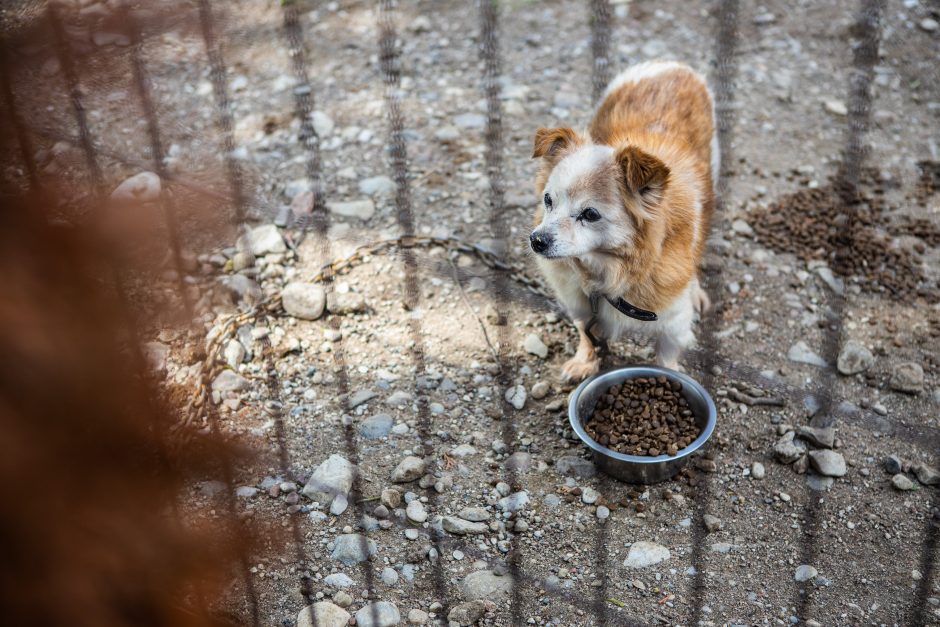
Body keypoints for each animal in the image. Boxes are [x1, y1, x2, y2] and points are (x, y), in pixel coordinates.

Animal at [528, 61, 720, 380]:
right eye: (548, 200)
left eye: (590, 214)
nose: (537, 240)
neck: (608, 269)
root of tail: (670, 65)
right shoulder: (580, 304)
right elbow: (585, 333)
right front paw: (584, 361)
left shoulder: (673, 325)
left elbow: (666, 359)